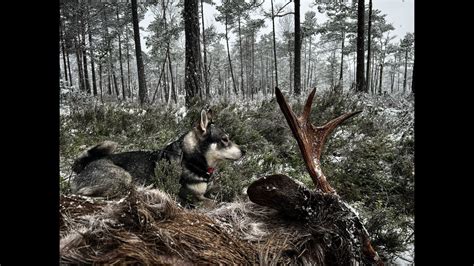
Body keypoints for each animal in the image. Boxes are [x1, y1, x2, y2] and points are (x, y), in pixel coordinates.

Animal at [70, 109, 244, 205]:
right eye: (225, 139)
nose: (244, 152)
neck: (189, 159)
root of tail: (85, 166)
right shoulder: (193, 197)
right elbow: (216, 203)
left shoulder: (209, 190)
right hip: (123, 177)